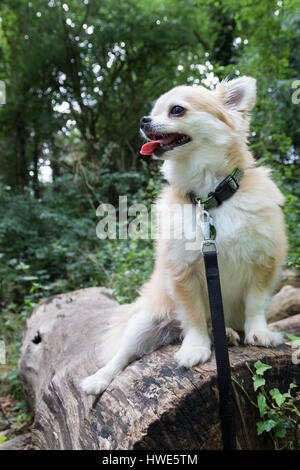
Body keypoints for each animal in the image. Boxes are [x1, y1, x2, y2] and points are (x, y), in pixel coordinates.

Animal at [79, 77, 286, 396]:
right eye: (153, 111)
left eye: (176, 110)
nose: (143, 120)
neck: (210, 201)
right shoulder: (182, 271)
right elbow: (194, 315)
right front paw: (194, 349)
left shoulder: (264, 261)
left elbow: (256, 303)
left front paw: (260, 333)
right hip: (146, 322)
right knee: (123, 355)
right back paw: (98, 379)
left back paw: (227, 332)